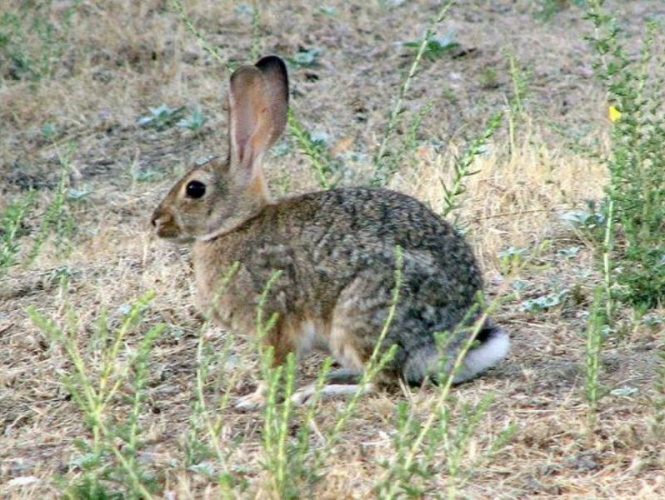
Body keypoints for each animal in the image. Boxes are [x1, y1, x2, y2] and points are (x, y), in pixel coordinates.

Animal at [150, 56, 508, 408]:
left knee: (384, 382)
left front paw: (256, 399)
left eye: (195, 189)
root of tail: (449, 346)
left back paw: (318, 392)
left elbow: (276, 366)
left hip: (360, 316)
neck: (238, 224)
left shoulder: (274, 321)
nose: (156, 221)